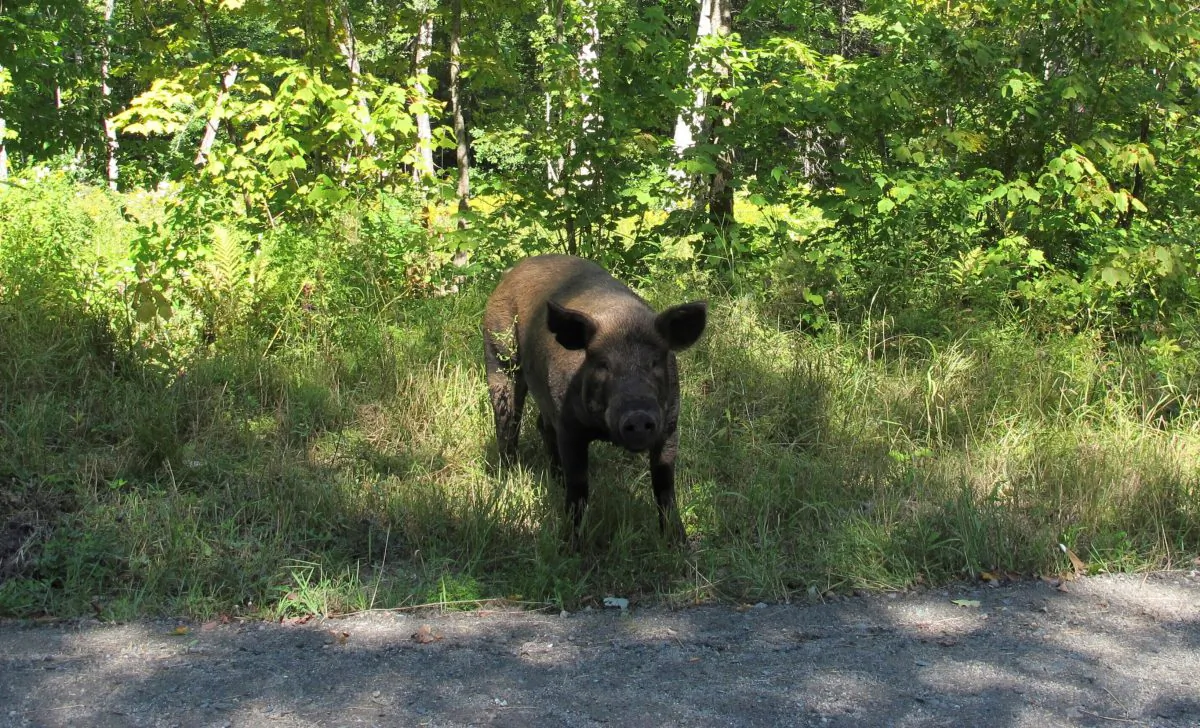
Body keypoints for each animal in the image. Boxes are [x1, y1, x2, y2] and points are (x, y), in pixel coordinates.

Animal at [482, 254, 707, 543]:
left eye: (655, 362)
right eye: (602, 364)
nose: (638, 416)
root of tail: (511, 272)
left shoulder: (670, 425)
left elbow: (665, 485)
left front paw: (678, 542)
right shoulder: (570, 427)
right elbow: (579, 487)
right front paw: (571, 544)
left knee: (542, 425)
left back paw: (555, 480)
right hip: (499, 354)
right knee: (507, 421)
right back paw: (507, 477)